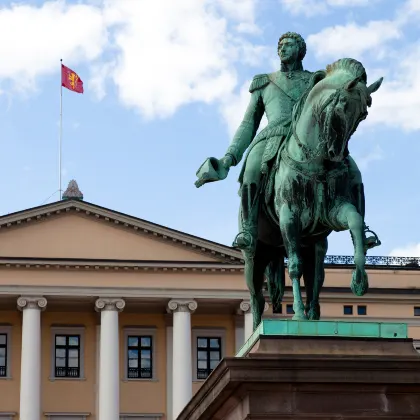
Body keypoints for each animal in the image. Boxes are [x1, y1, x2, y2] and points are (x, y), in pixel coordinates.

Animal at [238, 58, 382, 328]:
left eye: (363, 115)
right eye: (342, 105)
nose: (338, 155)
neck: (316, 161)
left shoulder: (334, 211)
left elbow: (356, 223)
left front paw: (359, 280)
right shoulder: (289, 216)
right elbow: (293, 266)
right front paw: (296, 313)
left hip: (316, 245)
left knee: (316, 278)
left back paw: (314, 315)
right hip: (255, 253)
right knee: (255, 296)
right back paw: (255, 328)